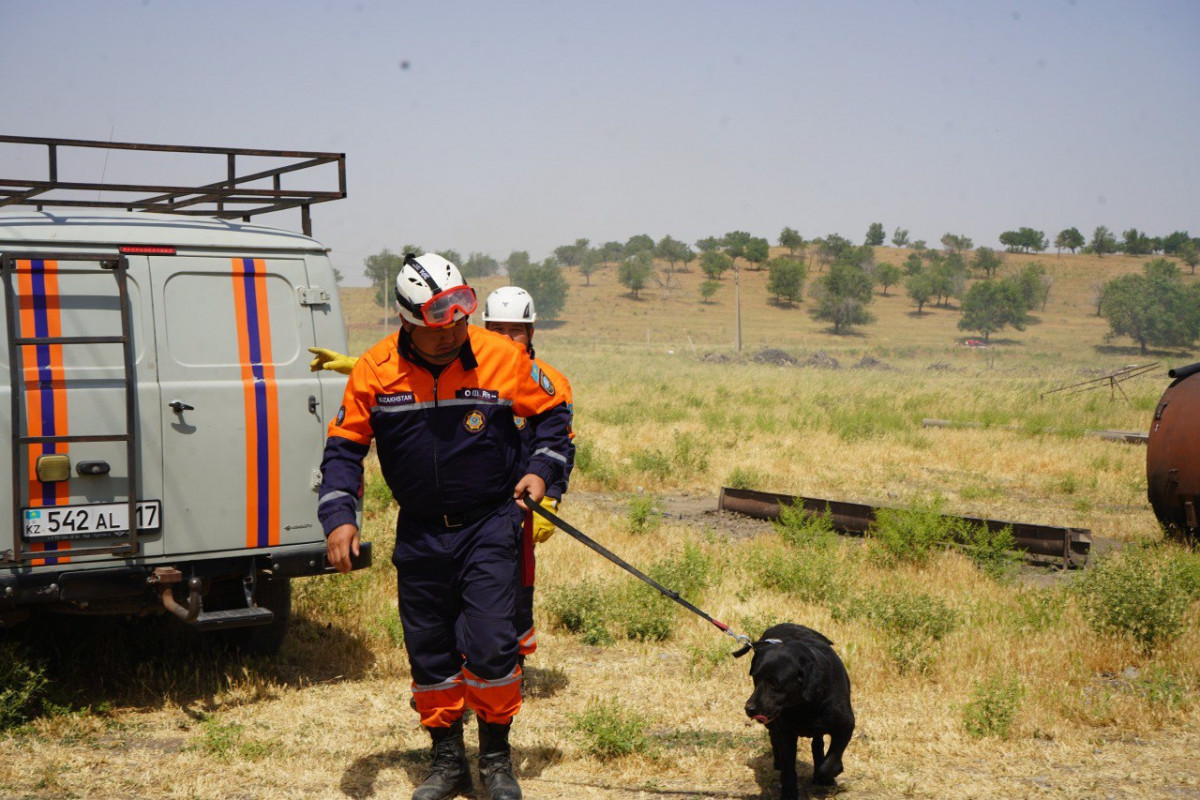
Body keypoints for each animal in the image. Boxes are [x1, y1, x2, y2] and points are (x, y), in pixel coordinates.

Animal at [743, 623, 855, 798]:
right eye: (755, 678)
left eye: (775, 682)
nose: (750, 709)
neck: (805, 705)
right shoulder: (786, 732)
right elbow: (788, 767)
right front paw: (789, 792)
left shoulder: (846, 725)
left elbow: (828, 764)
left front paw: (829, 775)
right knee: (775, 738)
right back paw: (778, 762)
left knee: (817, 744)